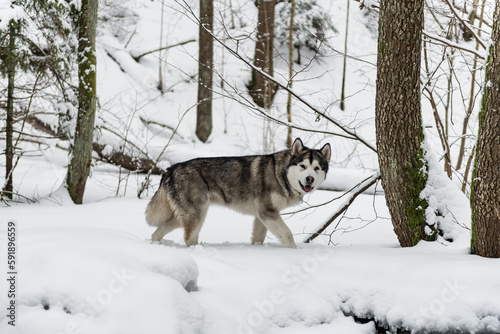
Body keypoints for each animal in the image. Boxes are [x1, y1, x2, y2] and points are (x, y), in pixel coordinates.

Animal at [146, 138, 332, 248]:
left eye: (317, 168)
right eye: (303, 166)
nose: (309, 179)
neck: (280, 174)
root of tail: (171, 169)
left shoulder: (262, 216)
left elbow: (258, 238)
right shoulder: (268, 213)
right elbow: (287, 234)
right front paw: (294, 251)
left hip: (181, 217)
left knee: (157, 232)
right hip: (197, 215)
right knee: (188, 238)